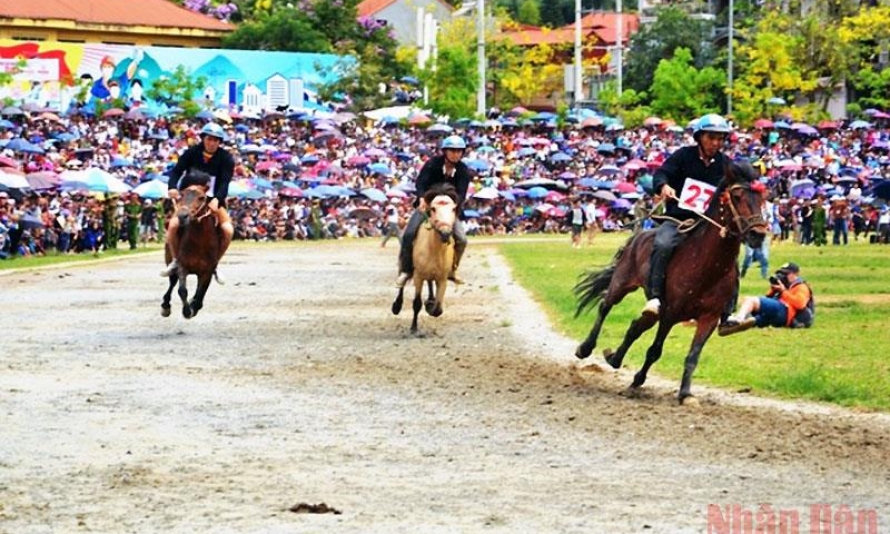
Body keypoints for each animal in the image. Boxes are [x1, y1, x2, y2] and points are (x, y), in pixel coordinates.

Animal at [163, 185, 225, 318]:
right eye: (181, 195)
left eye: (201, 197)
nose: (182, 216)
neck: (199, 240)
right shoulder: (182, 266)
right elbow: (182, 290)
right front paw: (187, 311)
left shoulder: (207, 271)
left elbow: (201, 291)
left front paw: (194, 306)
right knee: (172, 281)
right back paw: (165, 306)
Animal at [390, 184, 458, 336]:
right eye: (433, 208)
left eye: (453, 209)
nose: (445, 233)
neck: (434, 249)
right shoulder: (418, 276)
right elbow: (416, 303)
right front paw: (414, 328)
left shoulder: (442, 278)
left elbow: (438, 308)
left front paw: (431, 306)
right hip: (403, 263)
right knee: (402, 282)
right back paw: (396, 306)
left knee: (430, 283)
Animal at [572, 161, 768, 404]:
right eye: (737, 196)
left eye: (762, 198)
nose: (758, 234)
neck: (706, 266)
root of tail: (638, 235)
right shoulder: (670, 314)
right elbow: (655, 350)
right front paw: (636, 382)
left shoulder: (709, 318)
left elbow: (692, 356)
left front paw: (686, 394)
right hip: (622, 283)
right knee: (605, 306)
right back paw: (586, 348)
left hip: (653, 309)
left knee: (636, 325)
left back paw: (614, 358)